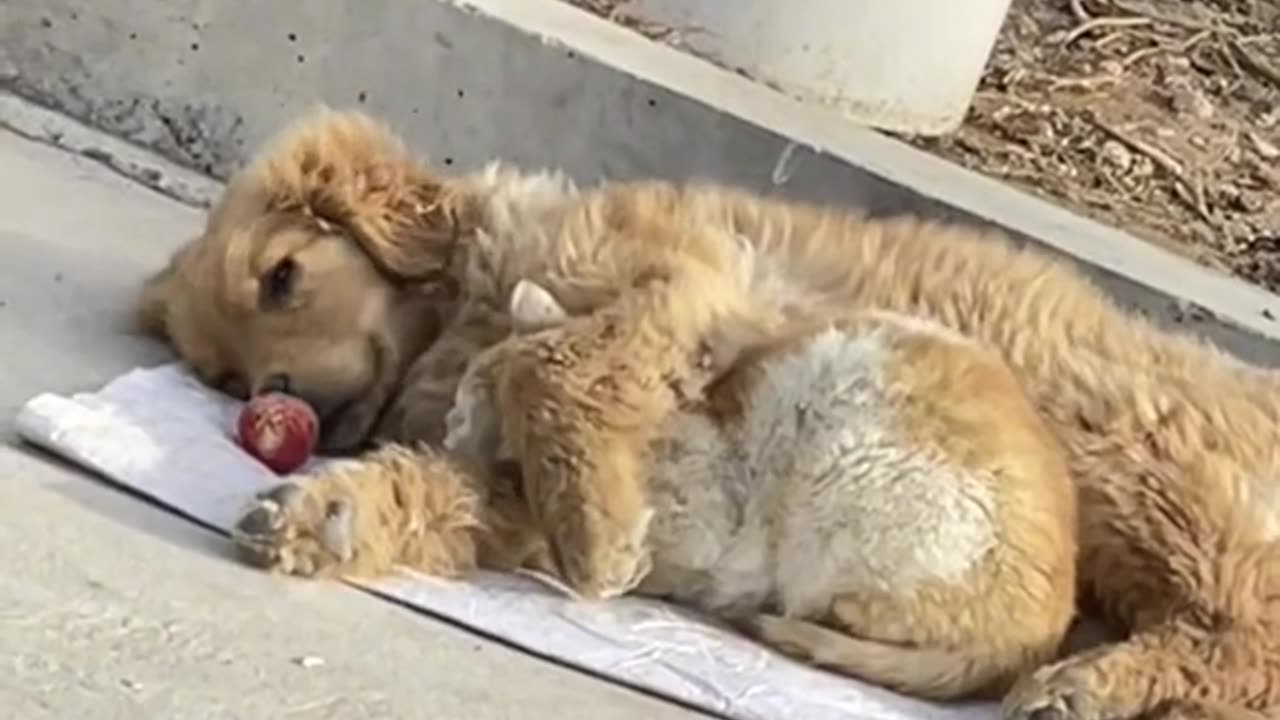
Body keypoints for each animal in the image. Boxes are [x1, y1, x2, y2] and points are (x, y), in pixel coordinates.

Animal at [137, 107, 1280, 717]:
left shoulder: (693, 291)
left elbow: (557, 363)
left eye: (283, 278)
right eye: (226, 377)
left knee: (1242, 644)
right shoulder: (507, 474)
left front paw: (599, 538)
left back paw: (1093, 681)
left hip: (1139, 474)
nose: (272, 409)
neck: (465, 300)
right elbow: (456, 479)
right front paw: (330, 515)